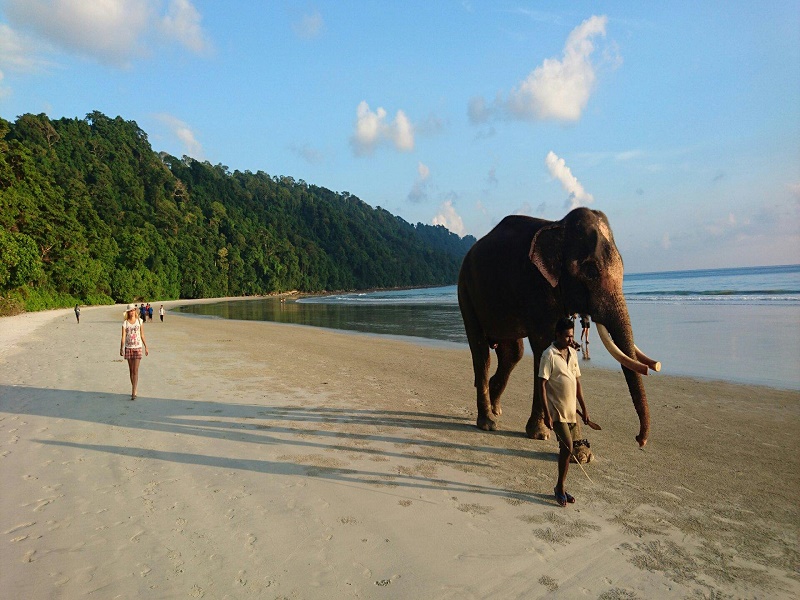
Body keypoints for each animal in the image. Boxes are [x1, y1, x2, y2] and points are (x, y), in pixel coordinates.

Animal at [457, 207, 660, 462]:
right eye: (590, 271)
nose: (639, 440)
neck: (558, 226)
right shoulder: (534, 286)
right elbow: (543, 346)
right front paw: (544, 435)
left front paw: (577, 449)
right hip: (466, 292)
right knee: (481, 352)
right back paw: (487, 422)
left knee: (512, 353)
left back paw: (496, 408)